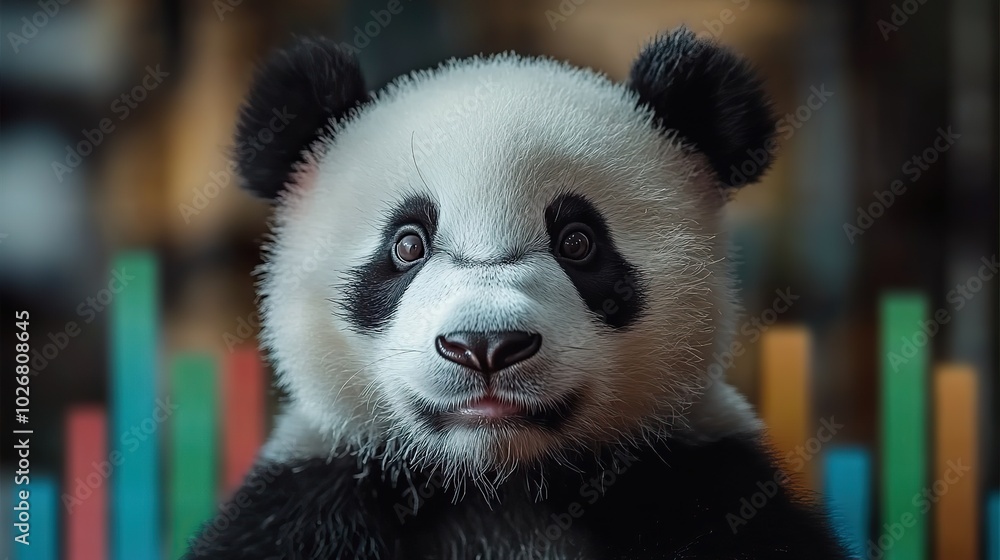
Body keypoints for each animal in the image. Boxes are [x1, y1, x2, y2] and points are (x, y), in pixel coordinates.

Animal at [187, 27, 849, 560]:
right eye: (407, 245)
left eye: (578, 241)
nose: (485, 345)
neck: (500, 481)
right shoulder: (315, 491)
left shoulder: (705, 477)